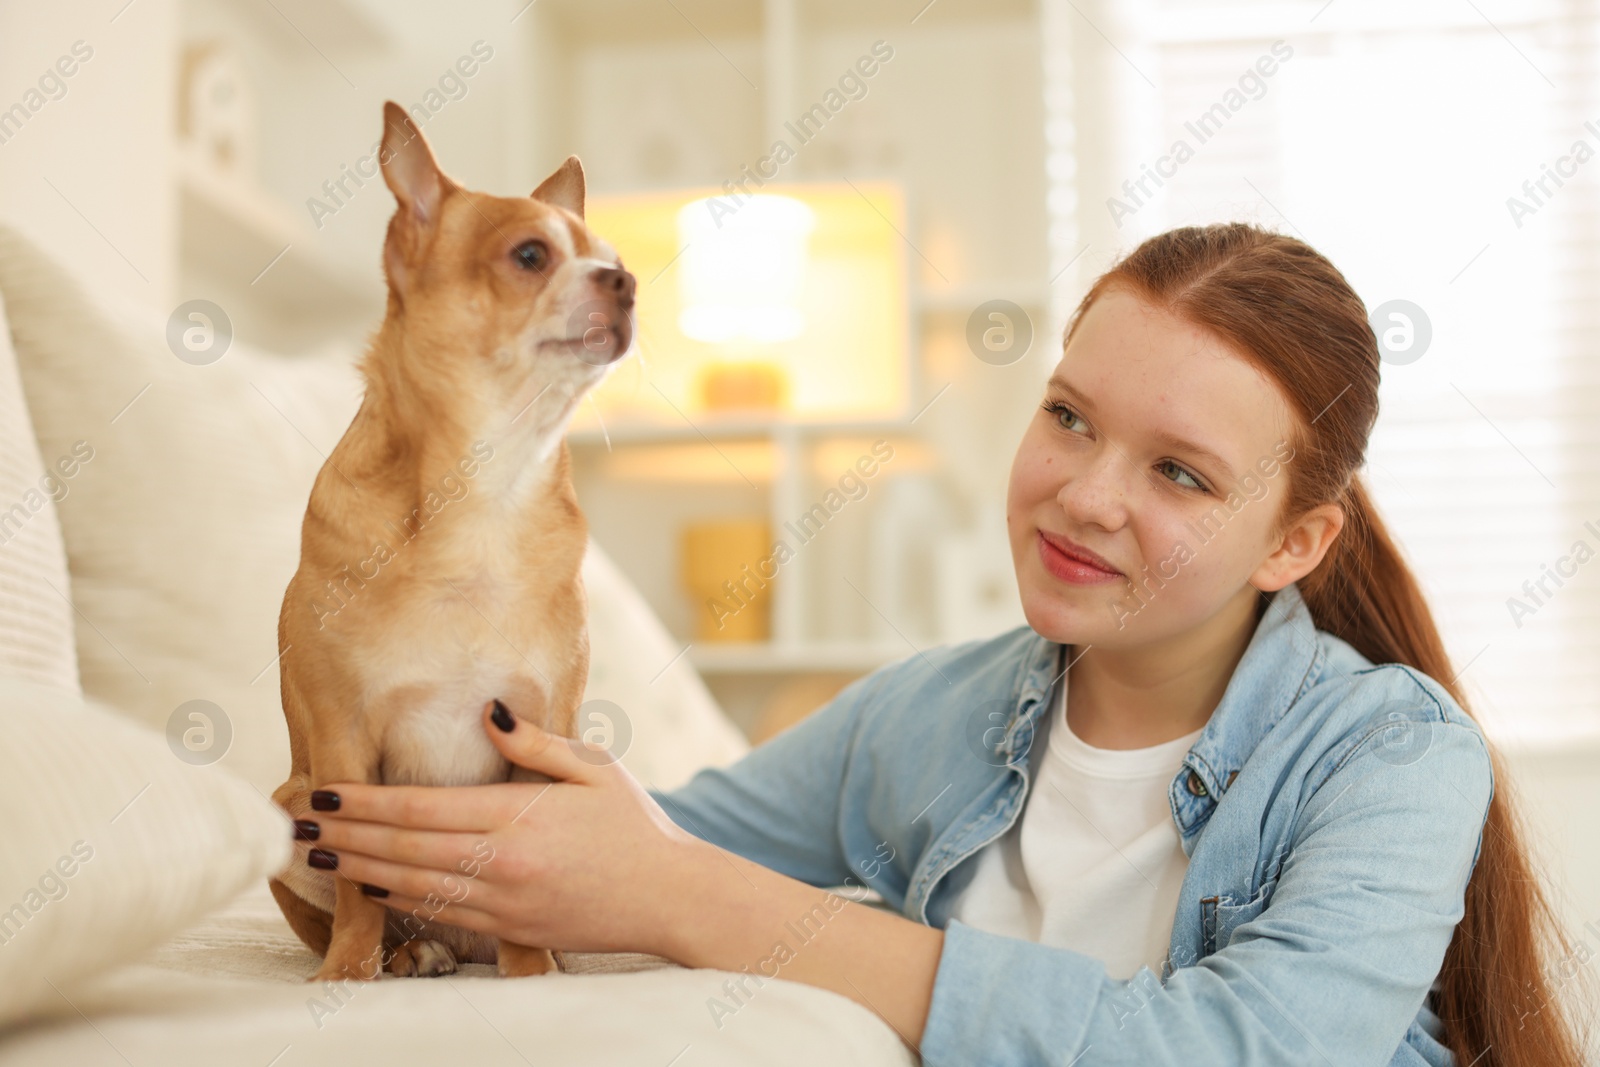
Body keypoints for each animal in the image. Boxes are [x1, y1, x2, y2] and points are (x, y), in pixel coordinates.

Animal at [267, 102, 630, 985]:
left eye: (613, 262)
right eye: (530, 256)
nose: (629, 283)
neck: (486, 486)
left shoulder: (543, 729)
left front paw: (532, 974)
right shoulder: (343, 744)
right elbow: (354, 882)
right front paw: (347, 973)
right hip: (290, 811)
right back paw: (402, 952)